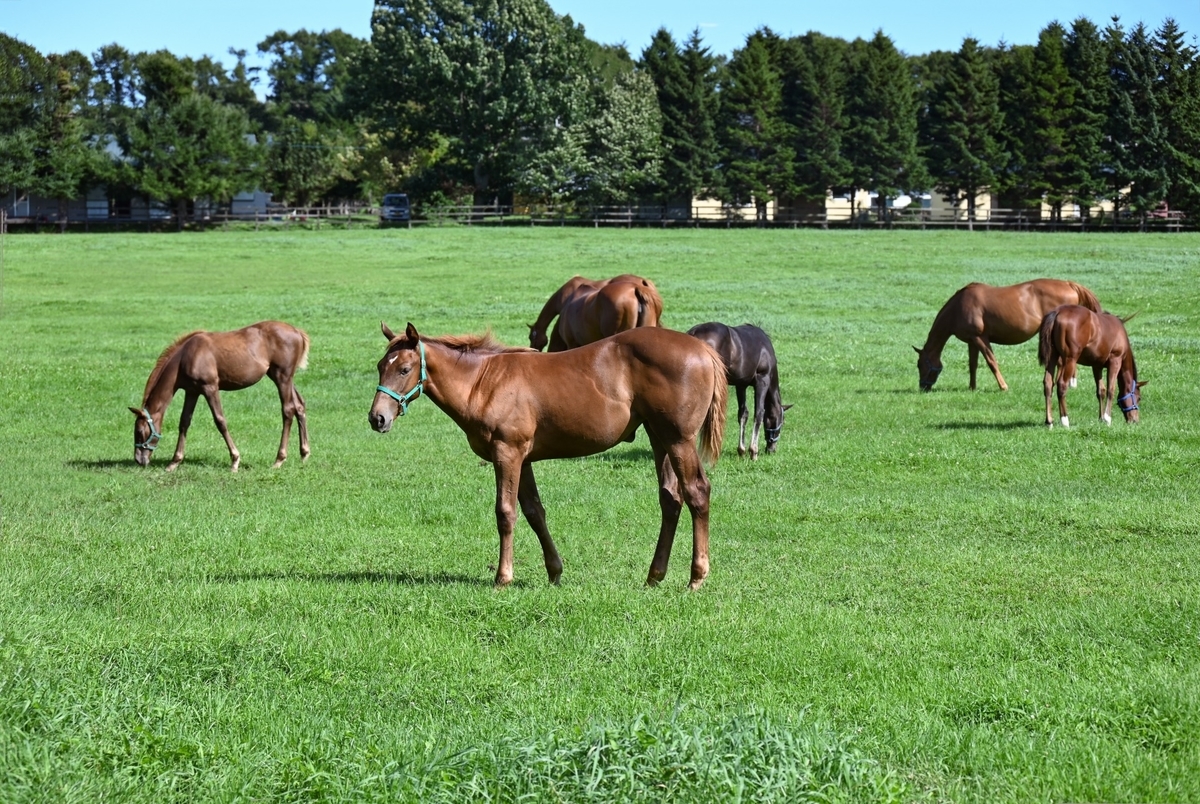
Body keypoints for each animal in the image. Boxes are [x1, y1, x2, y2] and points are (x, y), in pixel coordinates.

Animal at [129, 321, 310, 472]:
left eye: (139, 431)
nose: (138, 460)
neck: (185, 357)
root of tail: (297, 332)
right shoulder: (192, 391)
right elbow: (184, 422)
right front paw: (174, 462)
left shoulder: (210, 388)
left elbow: (220, 421)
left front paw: (235, 460)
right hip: (280, 376)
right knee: (299, 405)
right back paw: (304, 453)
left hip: (282, 377)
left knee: (288, 410)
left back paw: (279, 459)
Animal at [369, 322, 726, 590]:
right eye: (380, 367)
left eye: (404, 369)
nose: (377, 418)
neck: (484, 383)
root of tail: (703, 350)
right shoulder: (523, 459)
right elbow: (534, 512)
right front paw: (554, 571)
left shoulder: (507, 453)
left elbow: (505, 513)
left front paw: (503, 577)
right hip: (658, 437)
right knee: (670, 499)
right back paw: (654, 576)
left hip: (678, 439)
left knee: (697, 492)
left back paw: (696, 577)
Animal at [687, 322, 792, 459]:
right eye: (782, 422)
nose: (771, 449)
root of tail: (694, 333)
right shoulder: (762, 380)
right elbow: (759, 413)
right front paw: (753, 451)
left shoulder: (741, 385)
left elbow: (743, 414)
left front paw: (741, 450)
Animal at [914, 279, 1102, 391]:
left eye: (920, 365)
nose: (923, 387)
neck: (958, 307)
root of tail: (1069, 284)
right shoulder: (972, 341)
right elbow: (973, 365)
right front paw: (972, 387)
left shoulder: (980, 338)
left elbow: (991, 362)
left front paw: (1003, 386)